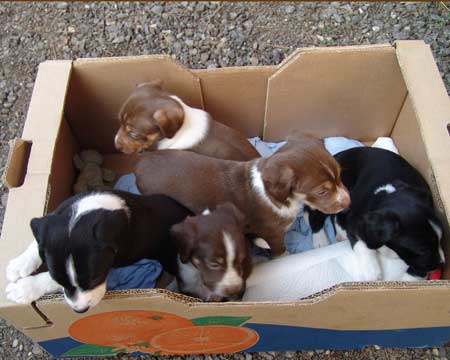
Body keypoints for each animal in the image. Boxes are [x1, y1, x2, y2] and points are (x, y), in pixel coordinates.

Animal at [5, 191, 192, 312]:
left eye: (94, 278)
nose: (80, 310)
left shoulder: (114, 261)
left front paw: (24, 288)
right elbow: (38, 240)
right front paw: (19, 264)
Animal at [135, 134, 350, 256]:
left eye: (341, 175)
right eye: (322, 191)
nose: (348, 202)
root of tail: (139, 165)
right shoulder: (273, 234)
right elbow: (281, 252)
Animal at [308, 146, 444, 282]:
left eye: (441, 239)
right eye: (422, 250)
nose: (442, 263)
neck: (385, 194)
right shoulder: (356, 222)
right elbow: (361, 243)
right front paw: (372, 271)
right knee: (316, 215)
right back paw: (320, 240)